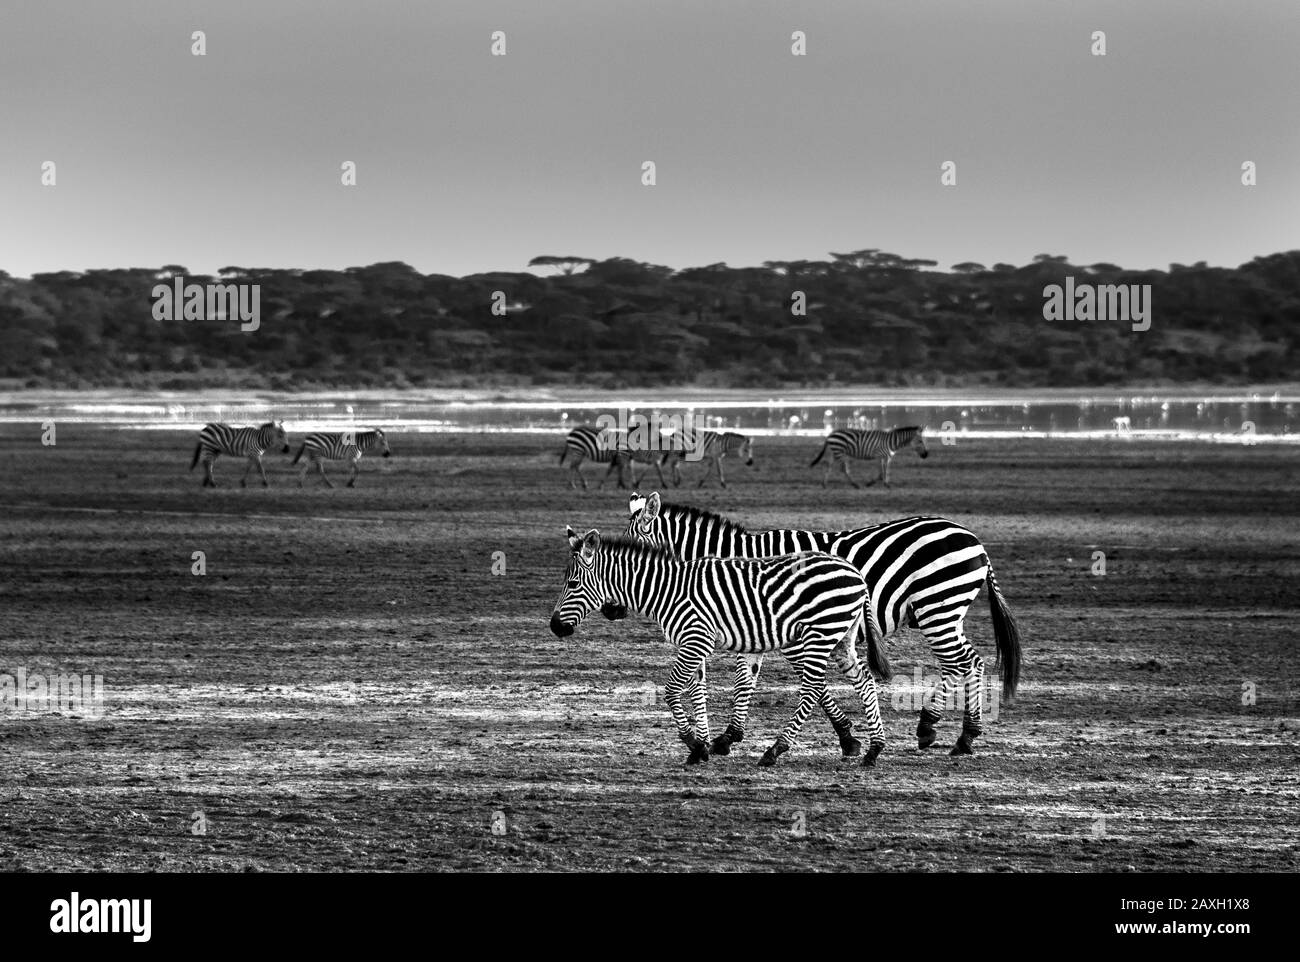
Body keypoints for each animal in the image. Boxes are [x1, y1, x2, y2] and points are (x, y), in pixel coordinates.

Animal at [543, 525, 889, 764]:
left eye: (573, 583)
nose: (554, 626)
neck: (664, 590)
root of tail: (854, 571)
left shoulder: (696, 639)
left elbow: (671, 690)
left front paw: (694, 743)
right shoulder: (692, 641)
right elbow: (697, 691)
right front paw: (702, 746)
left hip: (822, 631)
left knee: (812, 688)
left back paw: (775, 750)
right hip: (842, 635)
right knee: (863, 680)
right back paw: (874, 749)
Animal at [611, 491, 1024, 754]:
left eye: (631, 553)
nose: (613, 611)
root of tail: (974, 540)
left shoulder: (782, 629)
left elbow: (802, 684)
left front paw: (845, 737)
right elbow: (751, 679)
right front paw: (730, 736)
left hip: (937, 606)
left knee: (963, 662)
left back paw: (951, 732)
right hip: (943, 611)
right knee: (968, 662)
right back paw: (950, 732)